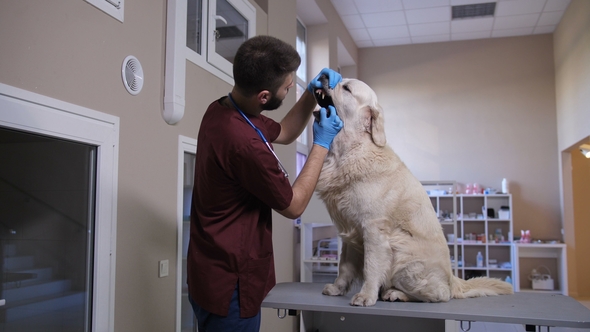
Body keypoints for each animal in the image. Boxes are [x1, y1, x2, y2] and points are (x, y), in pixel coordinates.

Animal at [314, 77, 512, 306]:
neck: (350, 150)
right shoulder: (350, 234)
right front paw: (337, 288)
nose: (324, 77)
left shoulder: (373, 228)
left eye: (346, 88)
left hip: (402, 251)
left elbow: (371, 267)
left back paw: (395, 293)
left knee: (439, 294)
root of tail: (453, 279)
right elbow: (344, 267)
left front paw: (366, 295)